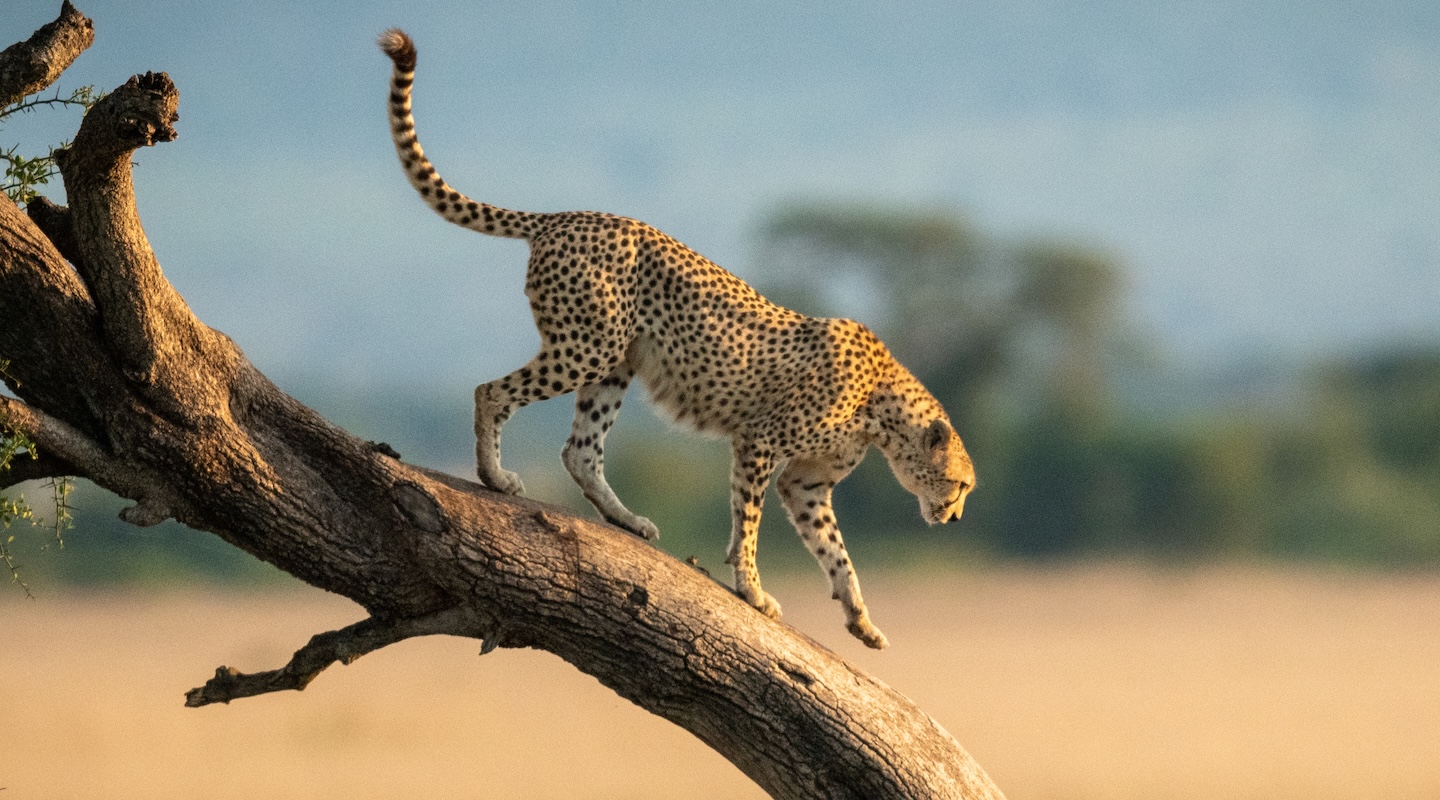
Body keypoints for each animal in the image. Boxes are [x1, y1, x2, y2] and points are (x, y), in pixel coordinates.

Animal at [379, 29, 975, 649]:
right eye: (958, 485)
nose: (953, 517)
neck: (883, 408)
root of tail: (567, 216)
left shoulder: (807, 483)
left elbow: (835, 550)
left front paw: (860, 617)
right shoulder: (759, 441)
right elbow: (749, 521)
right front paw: (751, 589)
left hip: (614, 362)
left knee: (580, 450)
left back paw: (625, 519)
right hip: (586, 347)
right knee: (492, 392)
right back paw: (494, 477)